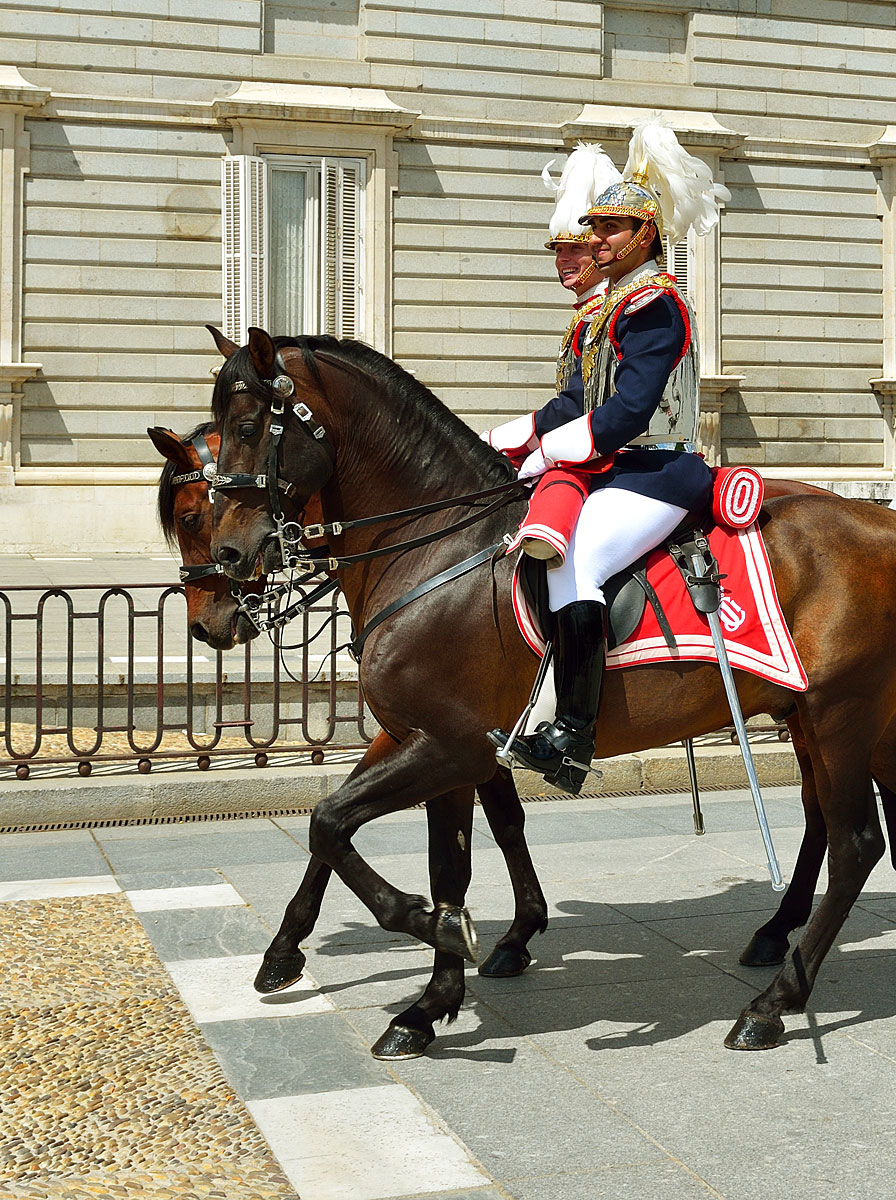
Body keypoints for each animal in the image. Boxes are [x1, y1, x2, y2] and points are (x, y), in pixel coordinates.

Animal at [206, 331, 896, 1060]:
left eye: (247, 427)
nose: (228, 556)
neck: (435, 549)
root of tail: (875, 520)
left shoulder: (449, 749)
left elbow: (334, 825)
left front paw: (436, 933)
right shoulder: (424, 743)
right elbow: (429, 860)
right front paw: (424, 998)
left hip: (841, 717)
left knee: (854, 843)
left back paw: (773, 1002)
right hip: (828, 719)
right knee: (831, 825)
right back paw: (774, 947)